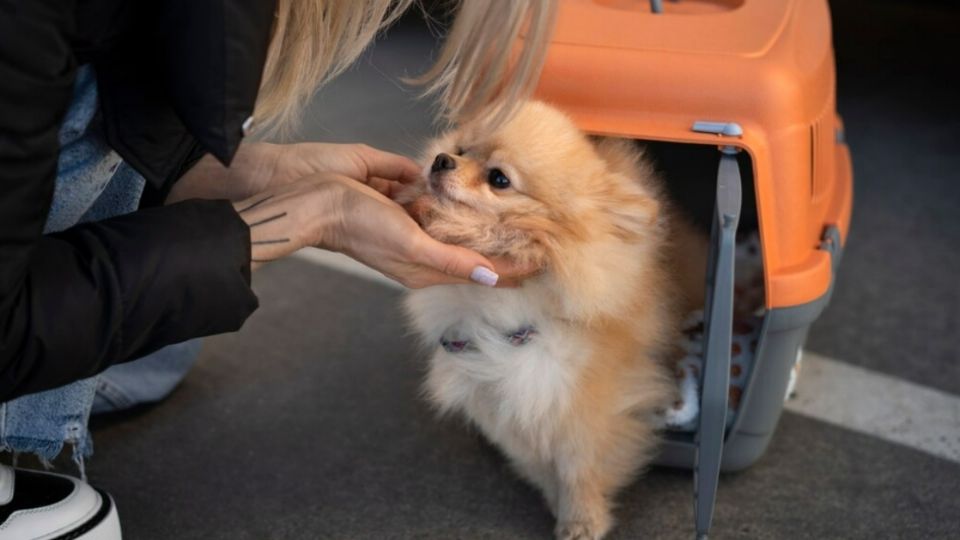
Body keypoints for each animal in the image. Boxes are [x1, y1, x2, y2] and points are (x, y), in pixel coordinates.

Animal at [402, 102, 692, 540]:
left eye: (499, 179)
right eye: (462, 149)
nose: (441, 159)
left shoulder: (584, 400)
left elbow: (579, 466)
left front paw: (582, 519)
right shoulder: (501, 397)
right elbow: (535, 458)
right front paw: (555, 499)